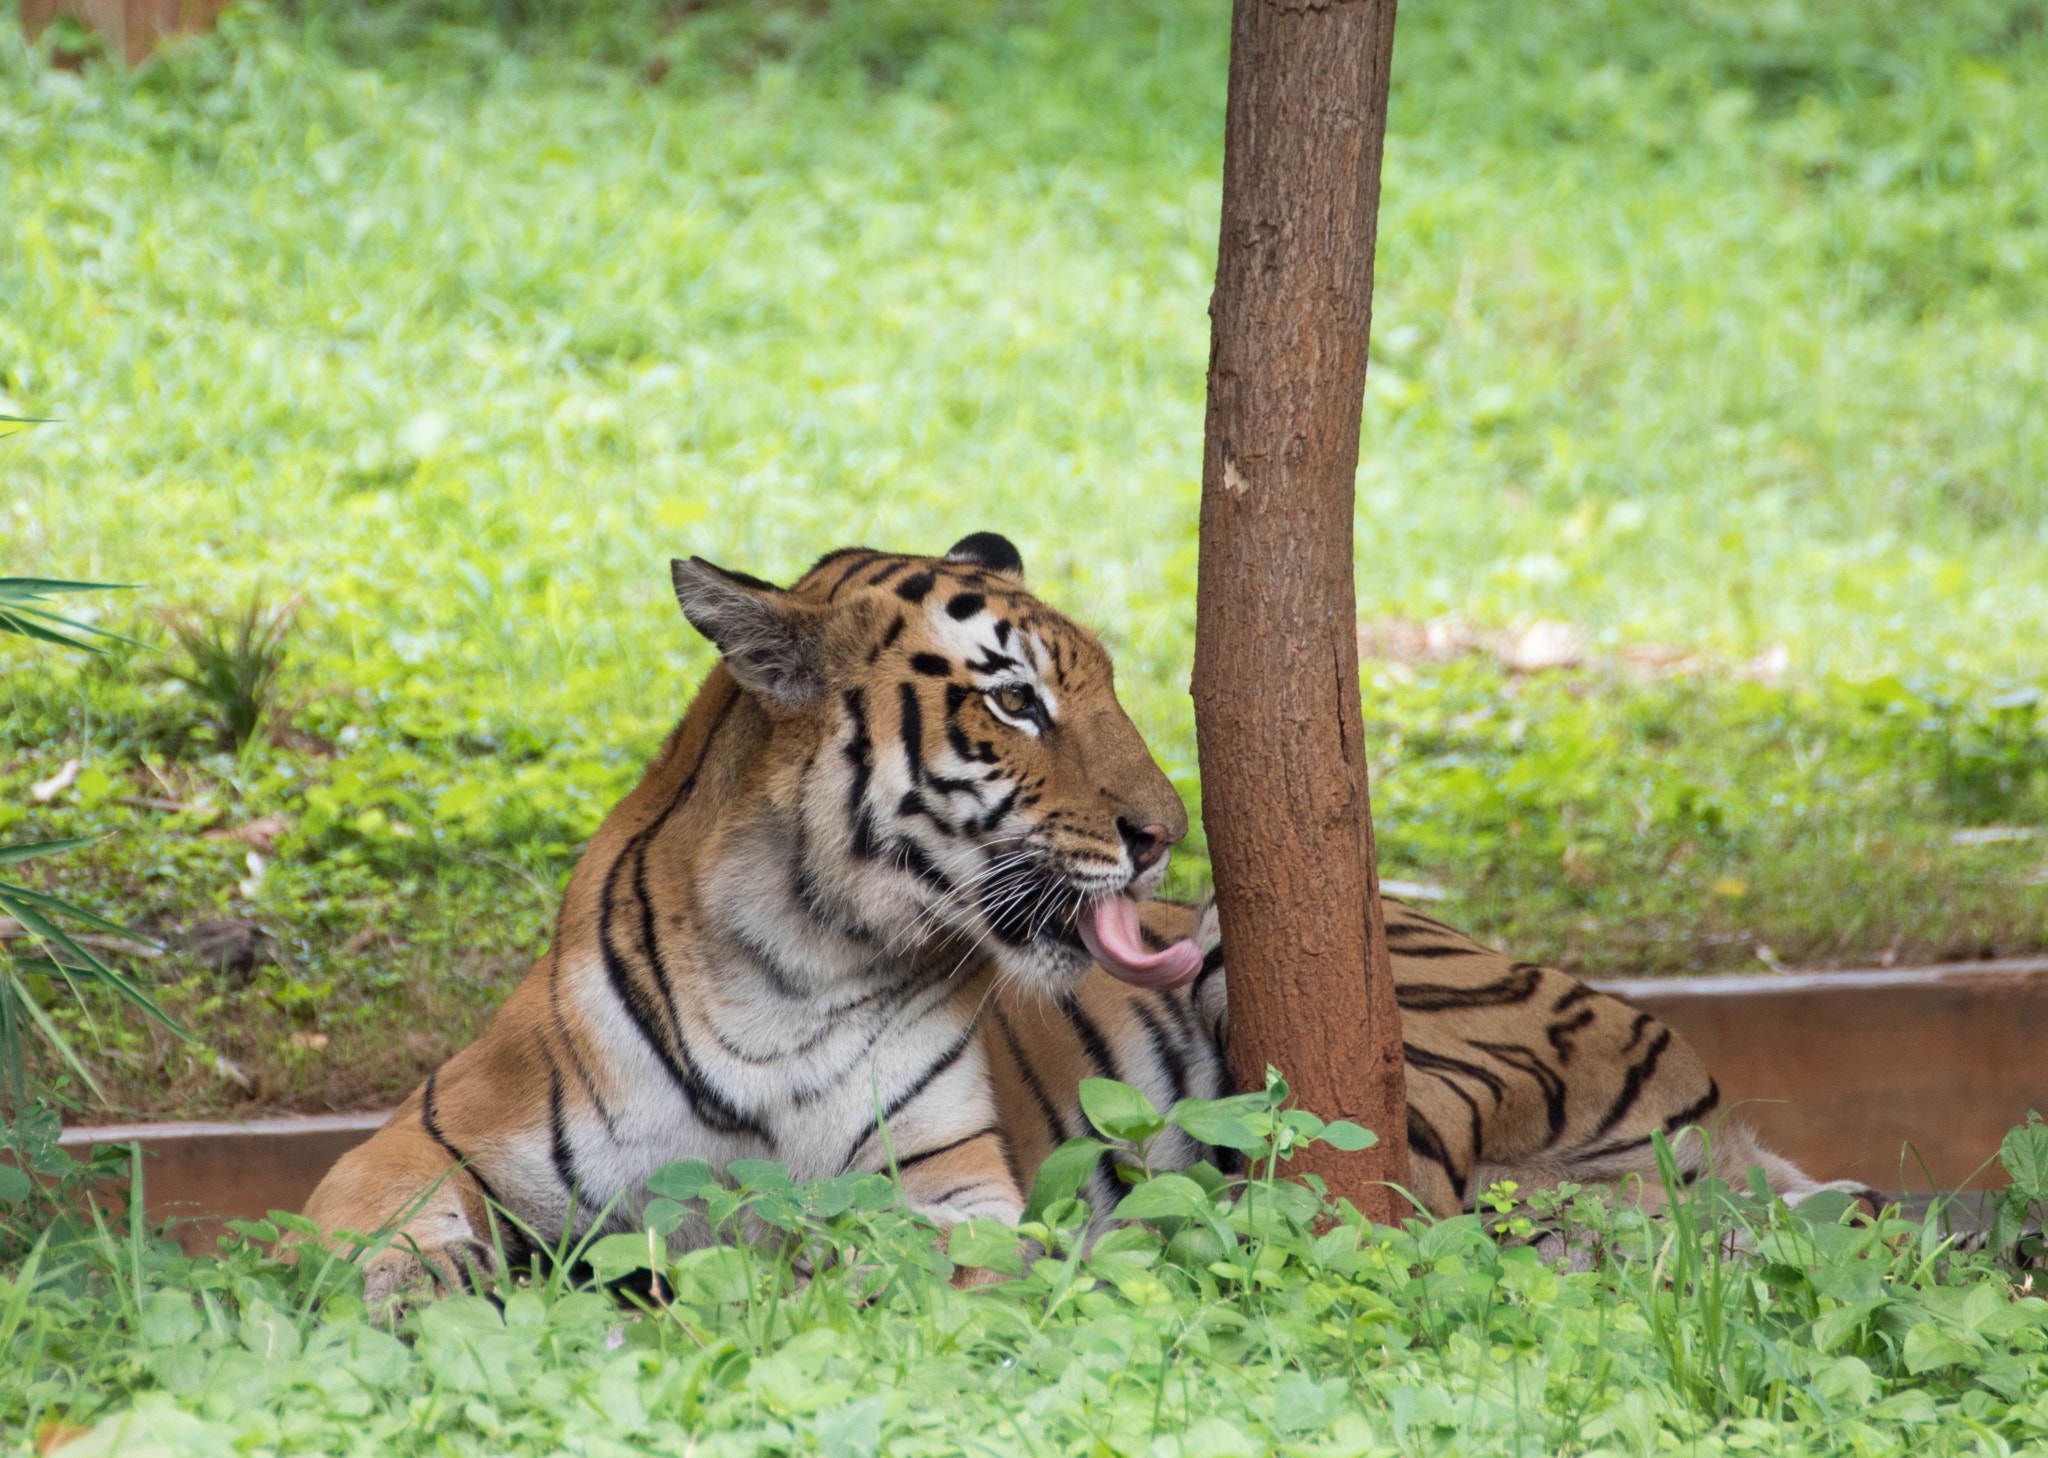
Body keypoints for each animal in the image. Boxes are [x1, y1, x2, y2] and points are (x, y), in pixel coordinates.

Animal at [304, 532, 1855, 1304]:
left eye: (1102, 682)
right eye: (1013, 700)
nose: (1166, 830)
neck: (792, 960)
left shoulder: (942, 1187)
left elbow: (888, 1264)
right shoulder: (424, 1142)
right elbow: (365, 1242)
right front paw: (428, 1302)